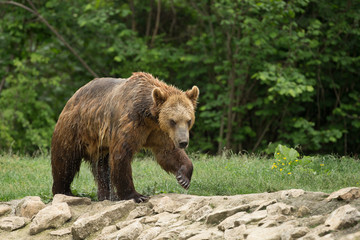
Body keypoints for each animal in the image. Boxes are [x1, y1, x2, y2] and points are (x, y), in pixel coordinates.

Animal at [50, 71, 200, 202]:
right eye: (173, 121)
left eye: (188, 120)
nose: (183, 142)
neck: (148, 114)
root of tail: (73, 97)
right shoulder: (131, 121)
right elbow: (122, 155)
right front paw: (136, 195)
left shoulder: (157, 131)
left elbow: (168, 152)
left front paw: (183, 177)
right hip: (75, 129)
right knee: (65, 161)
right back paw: (64, 191)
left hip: (101, 143)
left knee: (102, 167)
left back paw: (107, 195)